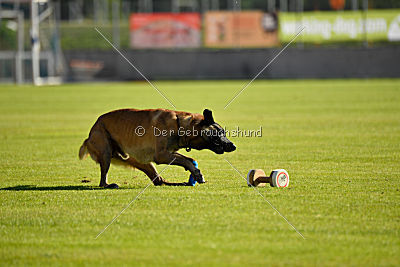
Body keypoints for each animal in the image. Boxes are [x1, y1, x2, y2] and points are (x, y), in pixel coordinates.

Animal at [79, 109, 236, 188]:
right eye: (219, 133)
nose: (233, 146)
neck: (180, 125)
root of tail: (90, 134)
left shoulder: (169, 153)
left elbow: (188, 159)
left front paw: (194, 173)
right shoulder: (161, 155)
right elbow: (187, 161)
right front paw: (197, 173)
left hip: (142, 162)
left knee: (158, 180)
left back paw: (177, 183)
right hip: (105, 153)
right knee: (102, 181)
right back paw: (108, 185)